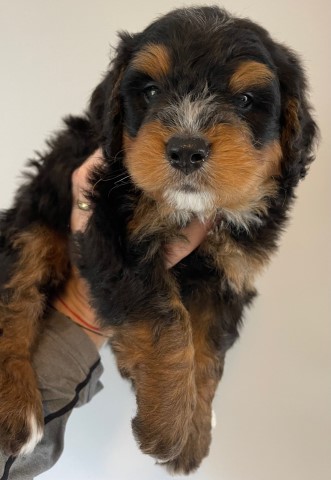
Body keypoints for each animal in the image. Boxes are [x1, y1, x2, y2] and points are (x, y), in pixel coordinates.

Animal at [0, 5, 318, 474]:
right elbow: (165, 319)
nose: (186, 150)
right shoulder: (113, 232)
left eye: (244, 101)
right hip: (38, 214)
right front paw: (167, 426)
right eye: (150, 92)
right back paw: (16, 411)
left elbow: (207, 353)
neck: (195, 209)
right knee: (16, 293)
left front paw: (193, 432)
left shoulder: (228, 273)